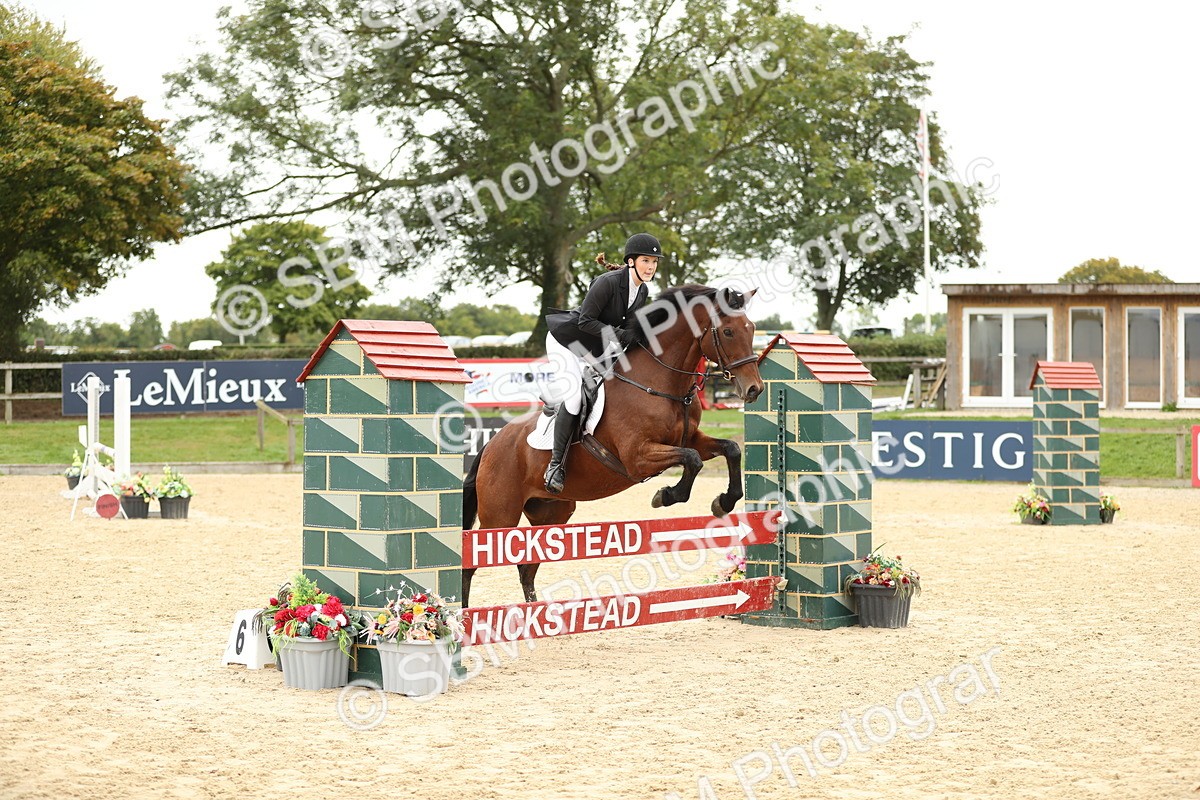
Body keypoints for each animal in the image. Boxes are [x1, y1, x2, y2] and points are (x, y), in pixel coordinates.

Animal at [461, 285, 765, 607]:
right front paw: (666, 495)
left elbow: (730, 449)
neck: (661, 383)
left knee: (526, 568)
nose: (754, 389)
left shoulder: (690, 438)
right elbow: (692, 460)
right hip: (500, 517)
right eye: (728, 331)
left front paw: (724, 501)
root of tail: (491, 444)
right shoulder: (638, 457)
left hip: (551, 513)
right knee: (471, 564)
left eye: (752, 328)